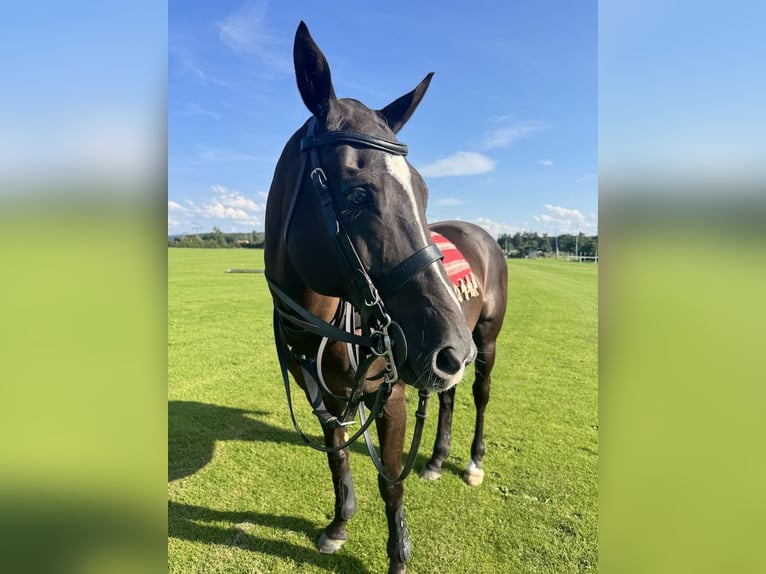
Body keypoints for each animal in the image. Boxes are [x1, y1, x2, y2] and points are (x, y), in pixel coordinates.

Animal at [264, 22, 507, 574]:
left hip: (482, 340)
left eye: (422, 192)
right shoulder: (321, 394)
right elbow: (337, 455)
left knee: (480, 393)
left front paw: (398, 555)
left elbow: (389, 482)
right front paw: (338, 524)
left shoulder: (389, 393)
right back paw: (435, 459)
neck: (323, 321)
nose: (452, 348)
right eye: (358, 194)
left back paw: (472, 463)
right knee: (448, 395)